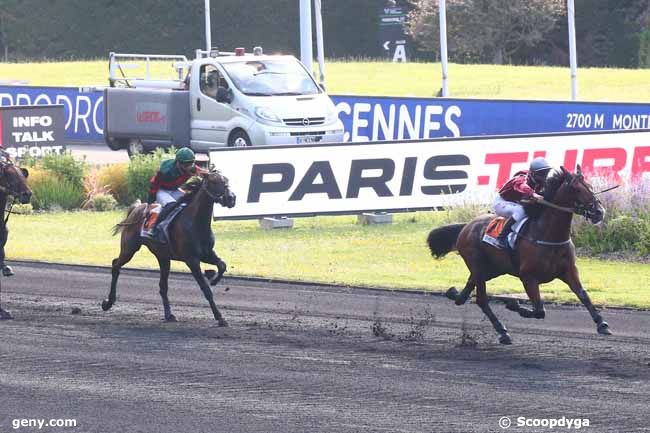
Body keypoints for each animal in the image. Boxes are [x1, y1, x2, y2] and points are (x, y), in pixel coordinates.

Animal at [104, 169, 238, 324]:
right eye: (214, 181)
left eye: (227, 180)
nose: (231, 198)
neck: (196, 223)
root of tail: (137, 208)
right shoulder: (192, 260)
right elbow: (206, 289)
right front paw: (220, 317)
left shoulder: (207, 254)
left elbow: (222, 265)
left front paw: (213, 278)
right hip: (129, 249)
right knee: (115, 265)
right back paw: (108, 302)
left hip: (163, 257)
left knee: (163, 286)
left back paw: (169, 315)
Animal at [426, 165, 608, 344]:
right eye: (577, 189)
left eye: (590, 186)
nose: (599, 212)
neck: (547, 234)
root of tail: (466, 226)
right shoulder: (528, 277)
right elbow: (539, 310)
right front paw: (513, 305)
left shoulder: (569, 270)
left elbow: (583, 295)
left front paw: (602, 324)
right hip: (478, 265)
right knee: (482, 299)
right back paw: (502, 331)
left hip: (491, 269)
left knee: (466, 294)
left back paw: (453, 293)